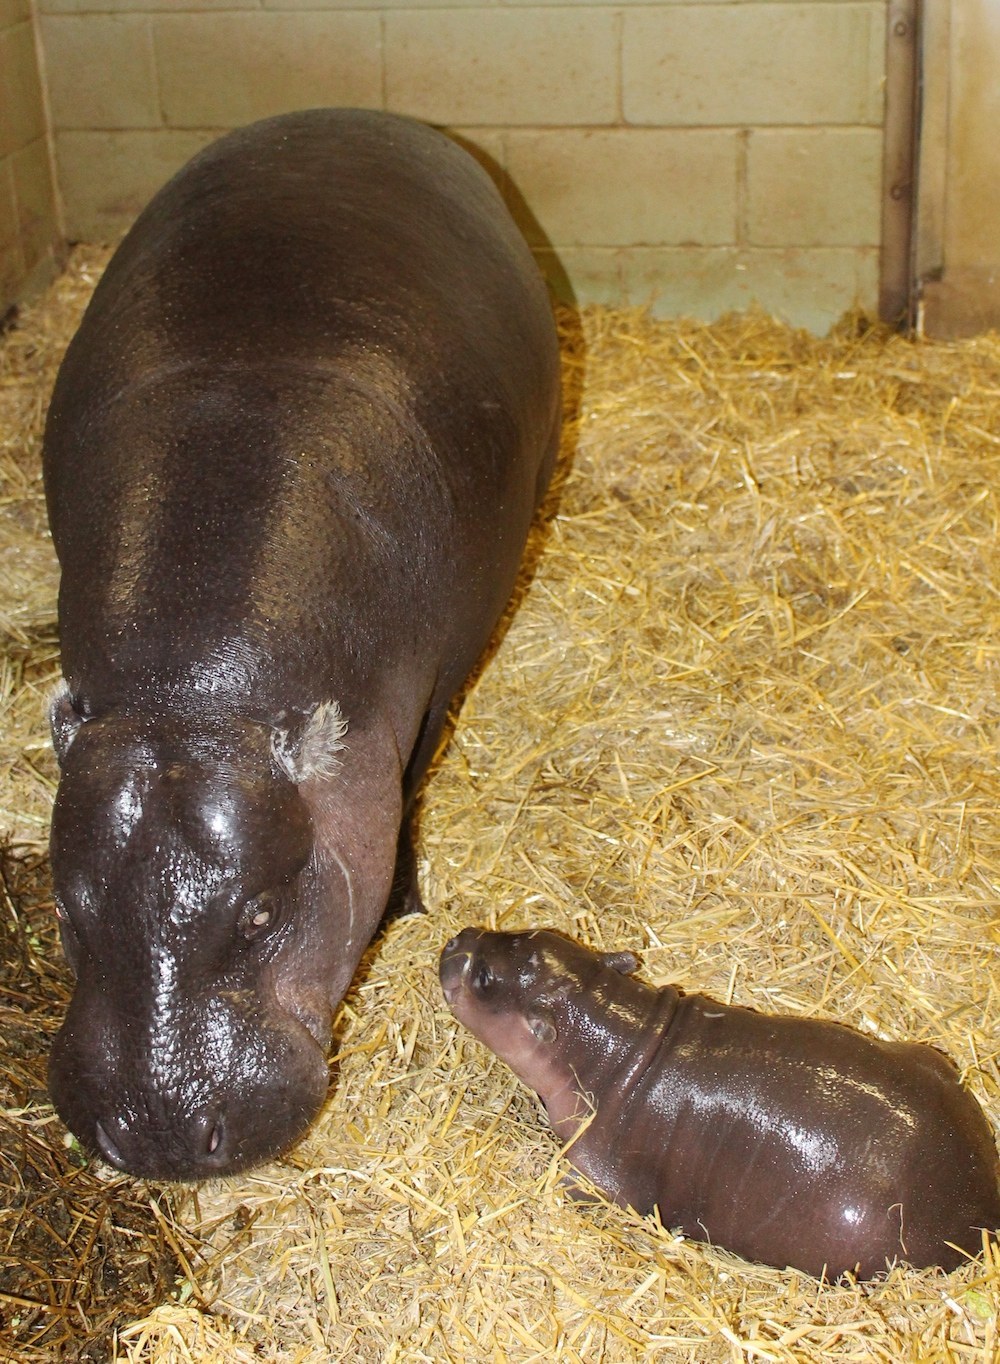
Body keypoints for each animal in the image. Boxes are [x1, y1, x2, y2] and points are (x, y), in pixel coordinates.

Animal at [42, 111, 562, 1183]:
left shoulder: (434, 686)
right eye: (68, 912)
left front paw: (404, 903)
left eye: (260, 914)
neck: (193, 696)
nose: (161, 1128)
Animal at [439, 927, 998, 1276]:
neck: (619, 1042)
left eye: (484, 981)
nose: (457, 940)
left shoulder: (599, 1171)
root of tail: (979, 1197)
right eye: (530, 933)